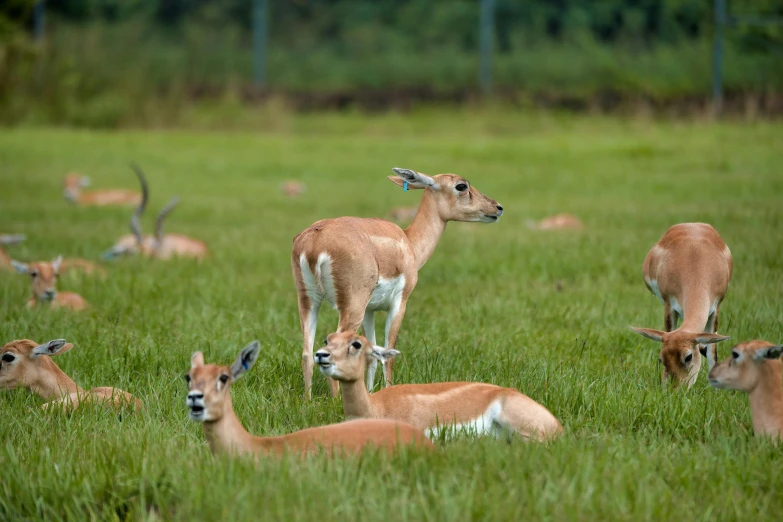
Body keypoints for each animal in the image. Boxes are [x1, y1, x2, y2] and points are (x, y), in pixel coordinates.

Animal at [292, 169, 502, 396]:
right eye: (461, 186)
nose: (497, 207)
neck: (408, 242)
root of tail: (315, 240)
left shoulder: (369, 310)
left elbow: (372, 354)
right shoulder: (399, 303)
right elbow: (388, 354)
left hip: (308, 300)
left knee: (307, 353)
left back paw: (308, 399)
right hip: (351, 307)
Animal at [632, 221, 736, 388]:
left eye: (688, 356)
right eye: (661, 359)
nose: (676, 389)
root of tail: (691, 224)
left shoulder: (716, 307)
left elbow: (712, 351)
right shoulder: (669, 305)